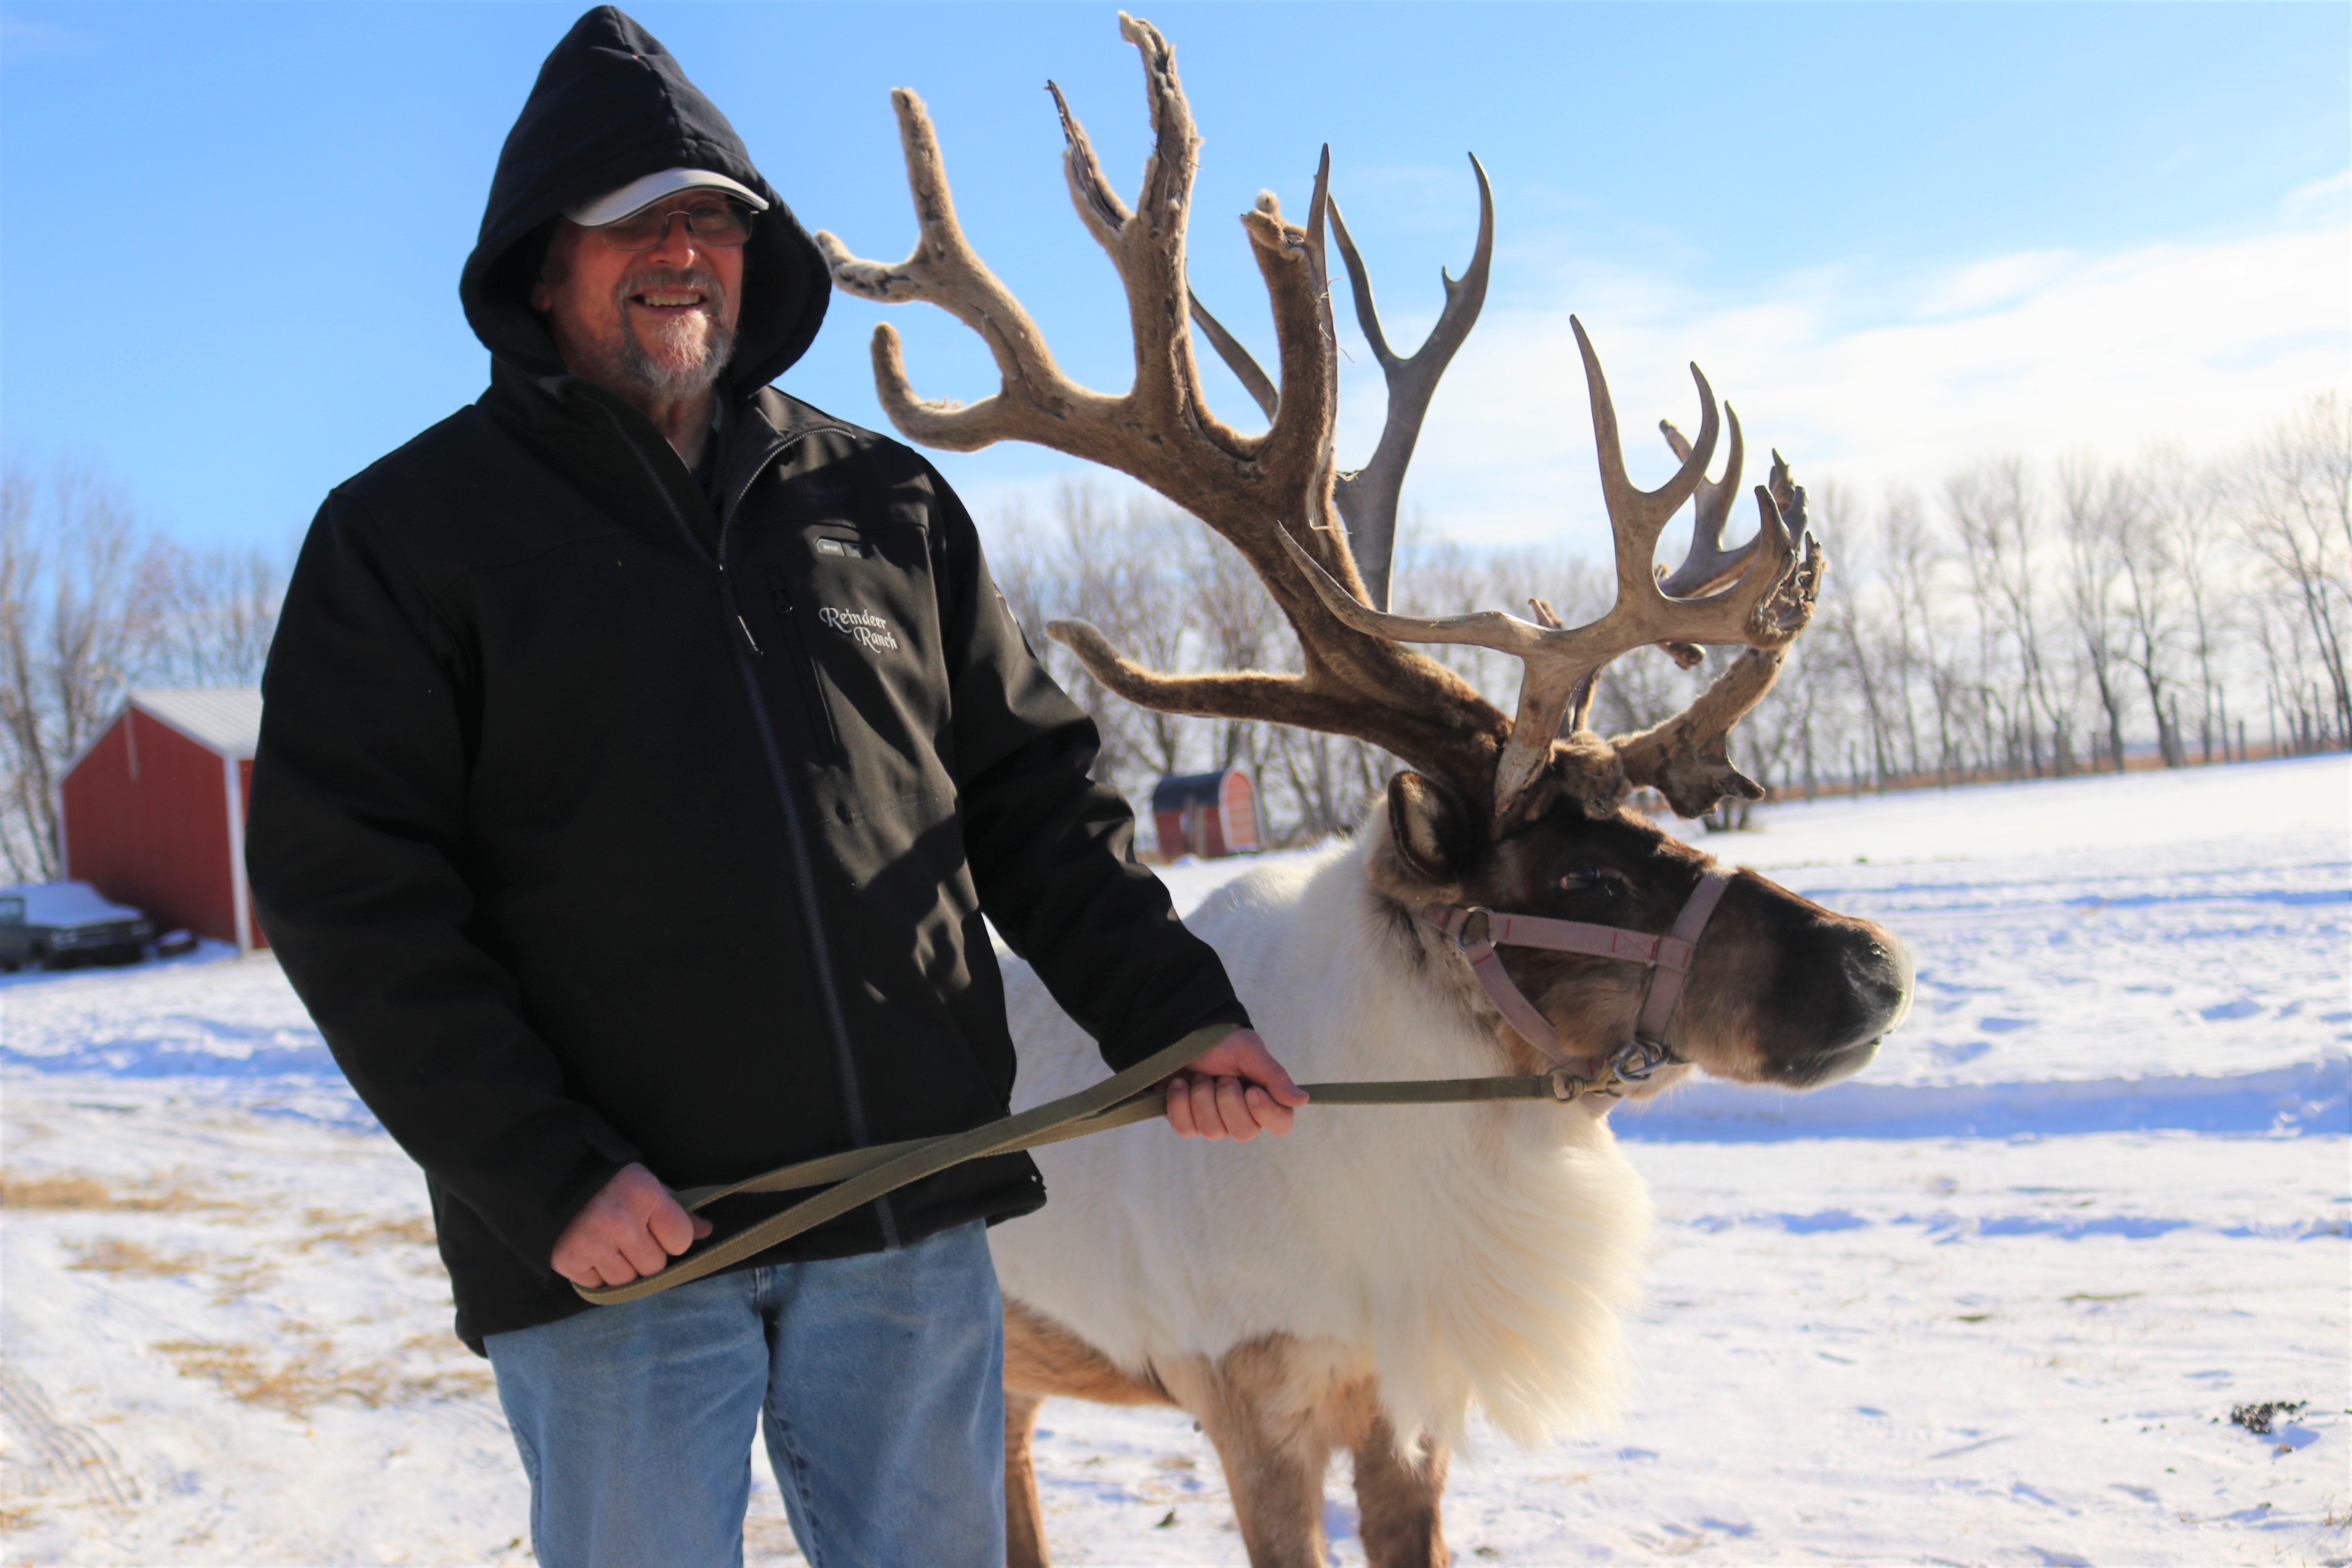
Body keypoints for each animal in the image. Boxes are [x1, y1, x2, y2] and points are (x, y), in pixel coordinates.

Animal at [818, 16, 1914, 1566]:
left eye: (1655, 822)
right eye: (1582, 874)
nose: (1872, 964)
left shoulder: (1409, 1407)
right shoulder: (1247, 1400)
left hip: (1013, 1363)